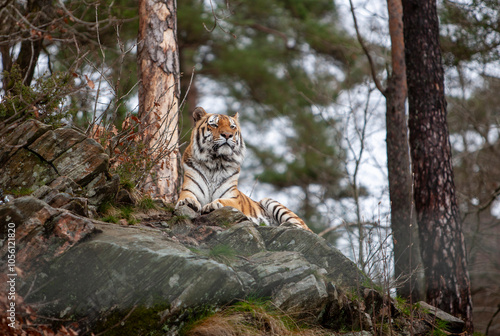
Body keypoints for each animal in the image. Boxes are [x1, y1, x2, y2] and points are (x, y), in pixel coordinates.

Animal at [174, 107, 310, 231]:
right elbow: (186, 197)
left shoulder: (234, 199)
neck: (215, 163)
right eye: (214, 124)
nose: (227, 135)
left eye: (232, 127)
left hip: (270, 201)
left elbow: (225, 201)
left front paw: (212, 204)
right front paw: (188, 202)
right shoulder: (189, 189)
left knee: (302, 227)